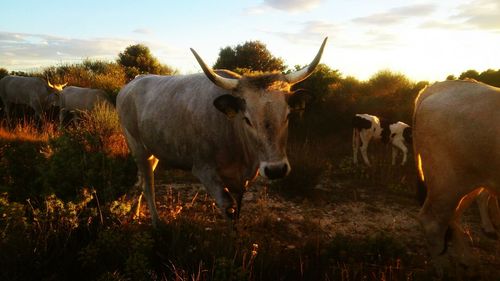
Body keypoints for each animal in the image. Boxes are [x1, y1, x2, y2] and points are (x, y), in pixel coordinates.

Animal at [116, 37, 328, 225]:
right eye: (247, 119)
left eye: (288, 115)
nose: (276, 170)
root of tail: (131, 83)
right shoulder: (204, 170)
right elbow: (229, 208)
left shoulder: (240, 180)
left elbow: (238, 209)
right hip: (136, 146)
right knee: (148, 184)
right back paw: (156, 223)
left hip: (153, 151)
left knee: (142, 179)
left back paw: (135, 213)